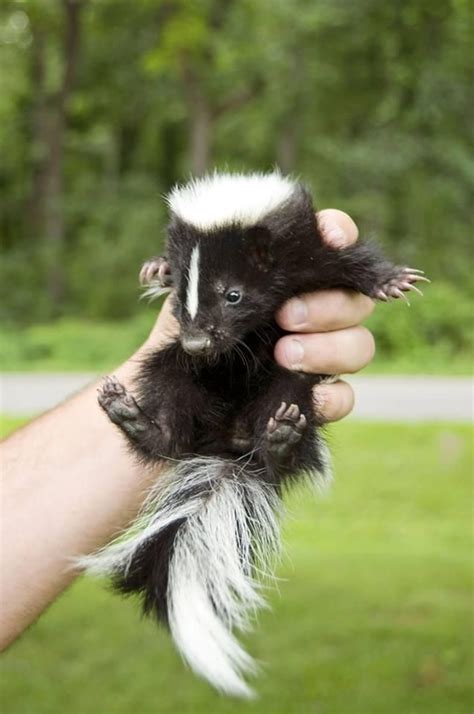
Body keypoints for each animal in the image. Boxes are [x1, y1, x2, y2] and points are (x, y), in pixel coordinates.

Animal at [79, 172, 428, 696]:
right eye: (181, 298)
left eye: (233, 294)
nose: (197, 342)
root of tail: (232, 444)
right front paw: (156, 266)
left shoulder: (311, 255)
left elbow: (350, 262)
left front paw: (391, 279)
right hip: (176, 370)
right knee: (170, 396)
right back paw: (138, 420)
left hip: (289, 379)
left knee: (288, 399)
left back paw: (281, 438)